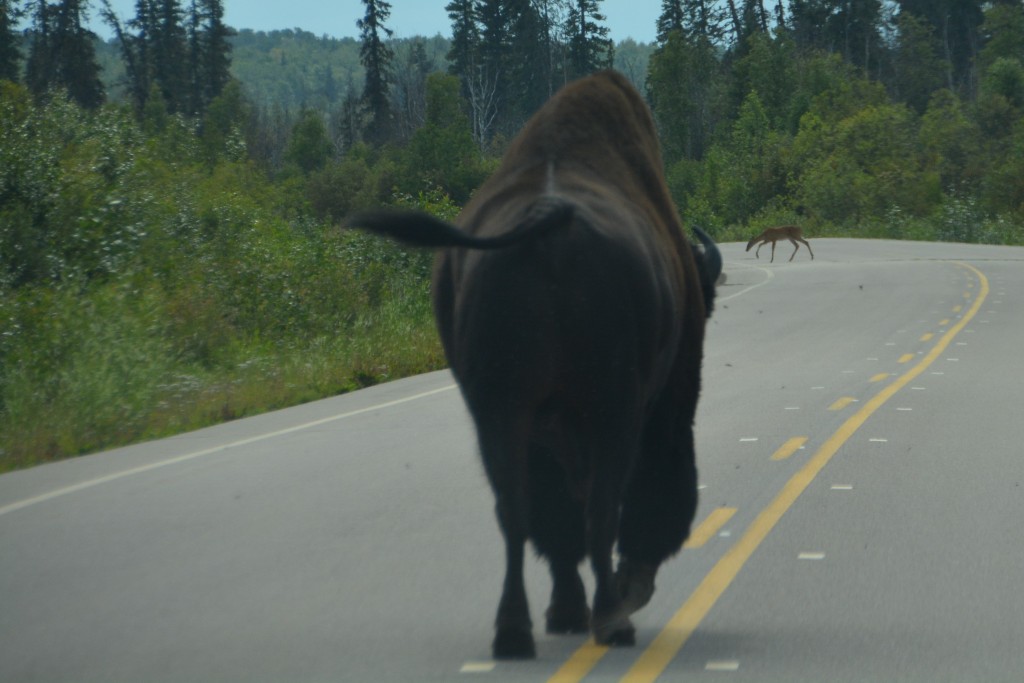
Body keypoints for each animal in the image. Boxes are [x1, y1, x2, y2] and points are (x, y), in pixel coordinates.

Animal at [348, 68, 724, 655]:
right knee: (596, 509)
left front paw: (565, 610)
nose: (640, 579)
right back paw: (611, 619)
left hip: (499, 410)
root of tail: (547, 217)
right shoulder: (662, 406)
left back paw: (515, 630)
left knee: (516, 511)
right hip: (608, 411)